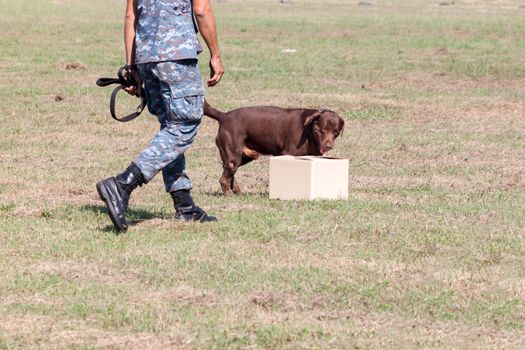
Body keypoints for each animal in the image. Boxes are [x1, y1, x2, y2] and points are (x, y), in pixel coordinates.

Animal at [204, 100, 344, 196]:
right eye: (322, 129)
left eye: (336, 132)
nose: (328, 145)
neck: (309, 130)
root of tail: (223, 116)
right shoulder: (288, 153)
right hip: (233, 153)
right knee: (225, 176)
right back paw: (228, 193)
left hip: (244, 156)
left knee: (230, 172)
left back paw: (236, 190)